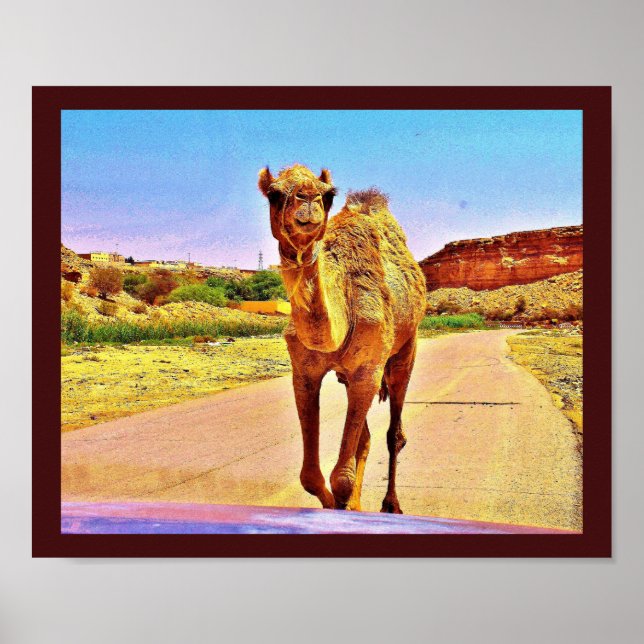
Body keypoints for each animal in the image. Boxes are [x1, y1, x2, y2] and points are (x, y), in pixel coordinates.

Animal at [258, 164, 426, 513]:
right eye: (274, 194)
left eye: (328, 195)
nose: (307, 199)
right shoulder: (304, 373)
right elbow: (311, 477)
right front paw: (342, 507)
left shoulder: (368, 371)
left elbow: (342, 479)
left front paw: (348, 506)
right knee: (366, 439)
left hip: (406, 347)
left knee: (394, 433)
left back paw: (390, 504)